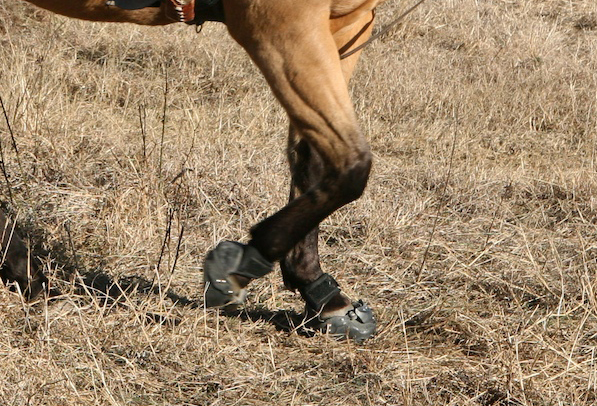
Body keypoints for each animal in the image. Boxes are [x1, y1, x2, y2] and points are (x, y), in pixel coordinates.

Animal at [10, 0, 392, 342]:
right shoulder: (279, 23)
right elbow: (352, 168)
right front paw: (241, 263)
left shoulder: (346, 23)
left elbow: (316, 165)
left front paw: (321, 294)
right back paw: (26, 273)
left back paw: (23, 273)